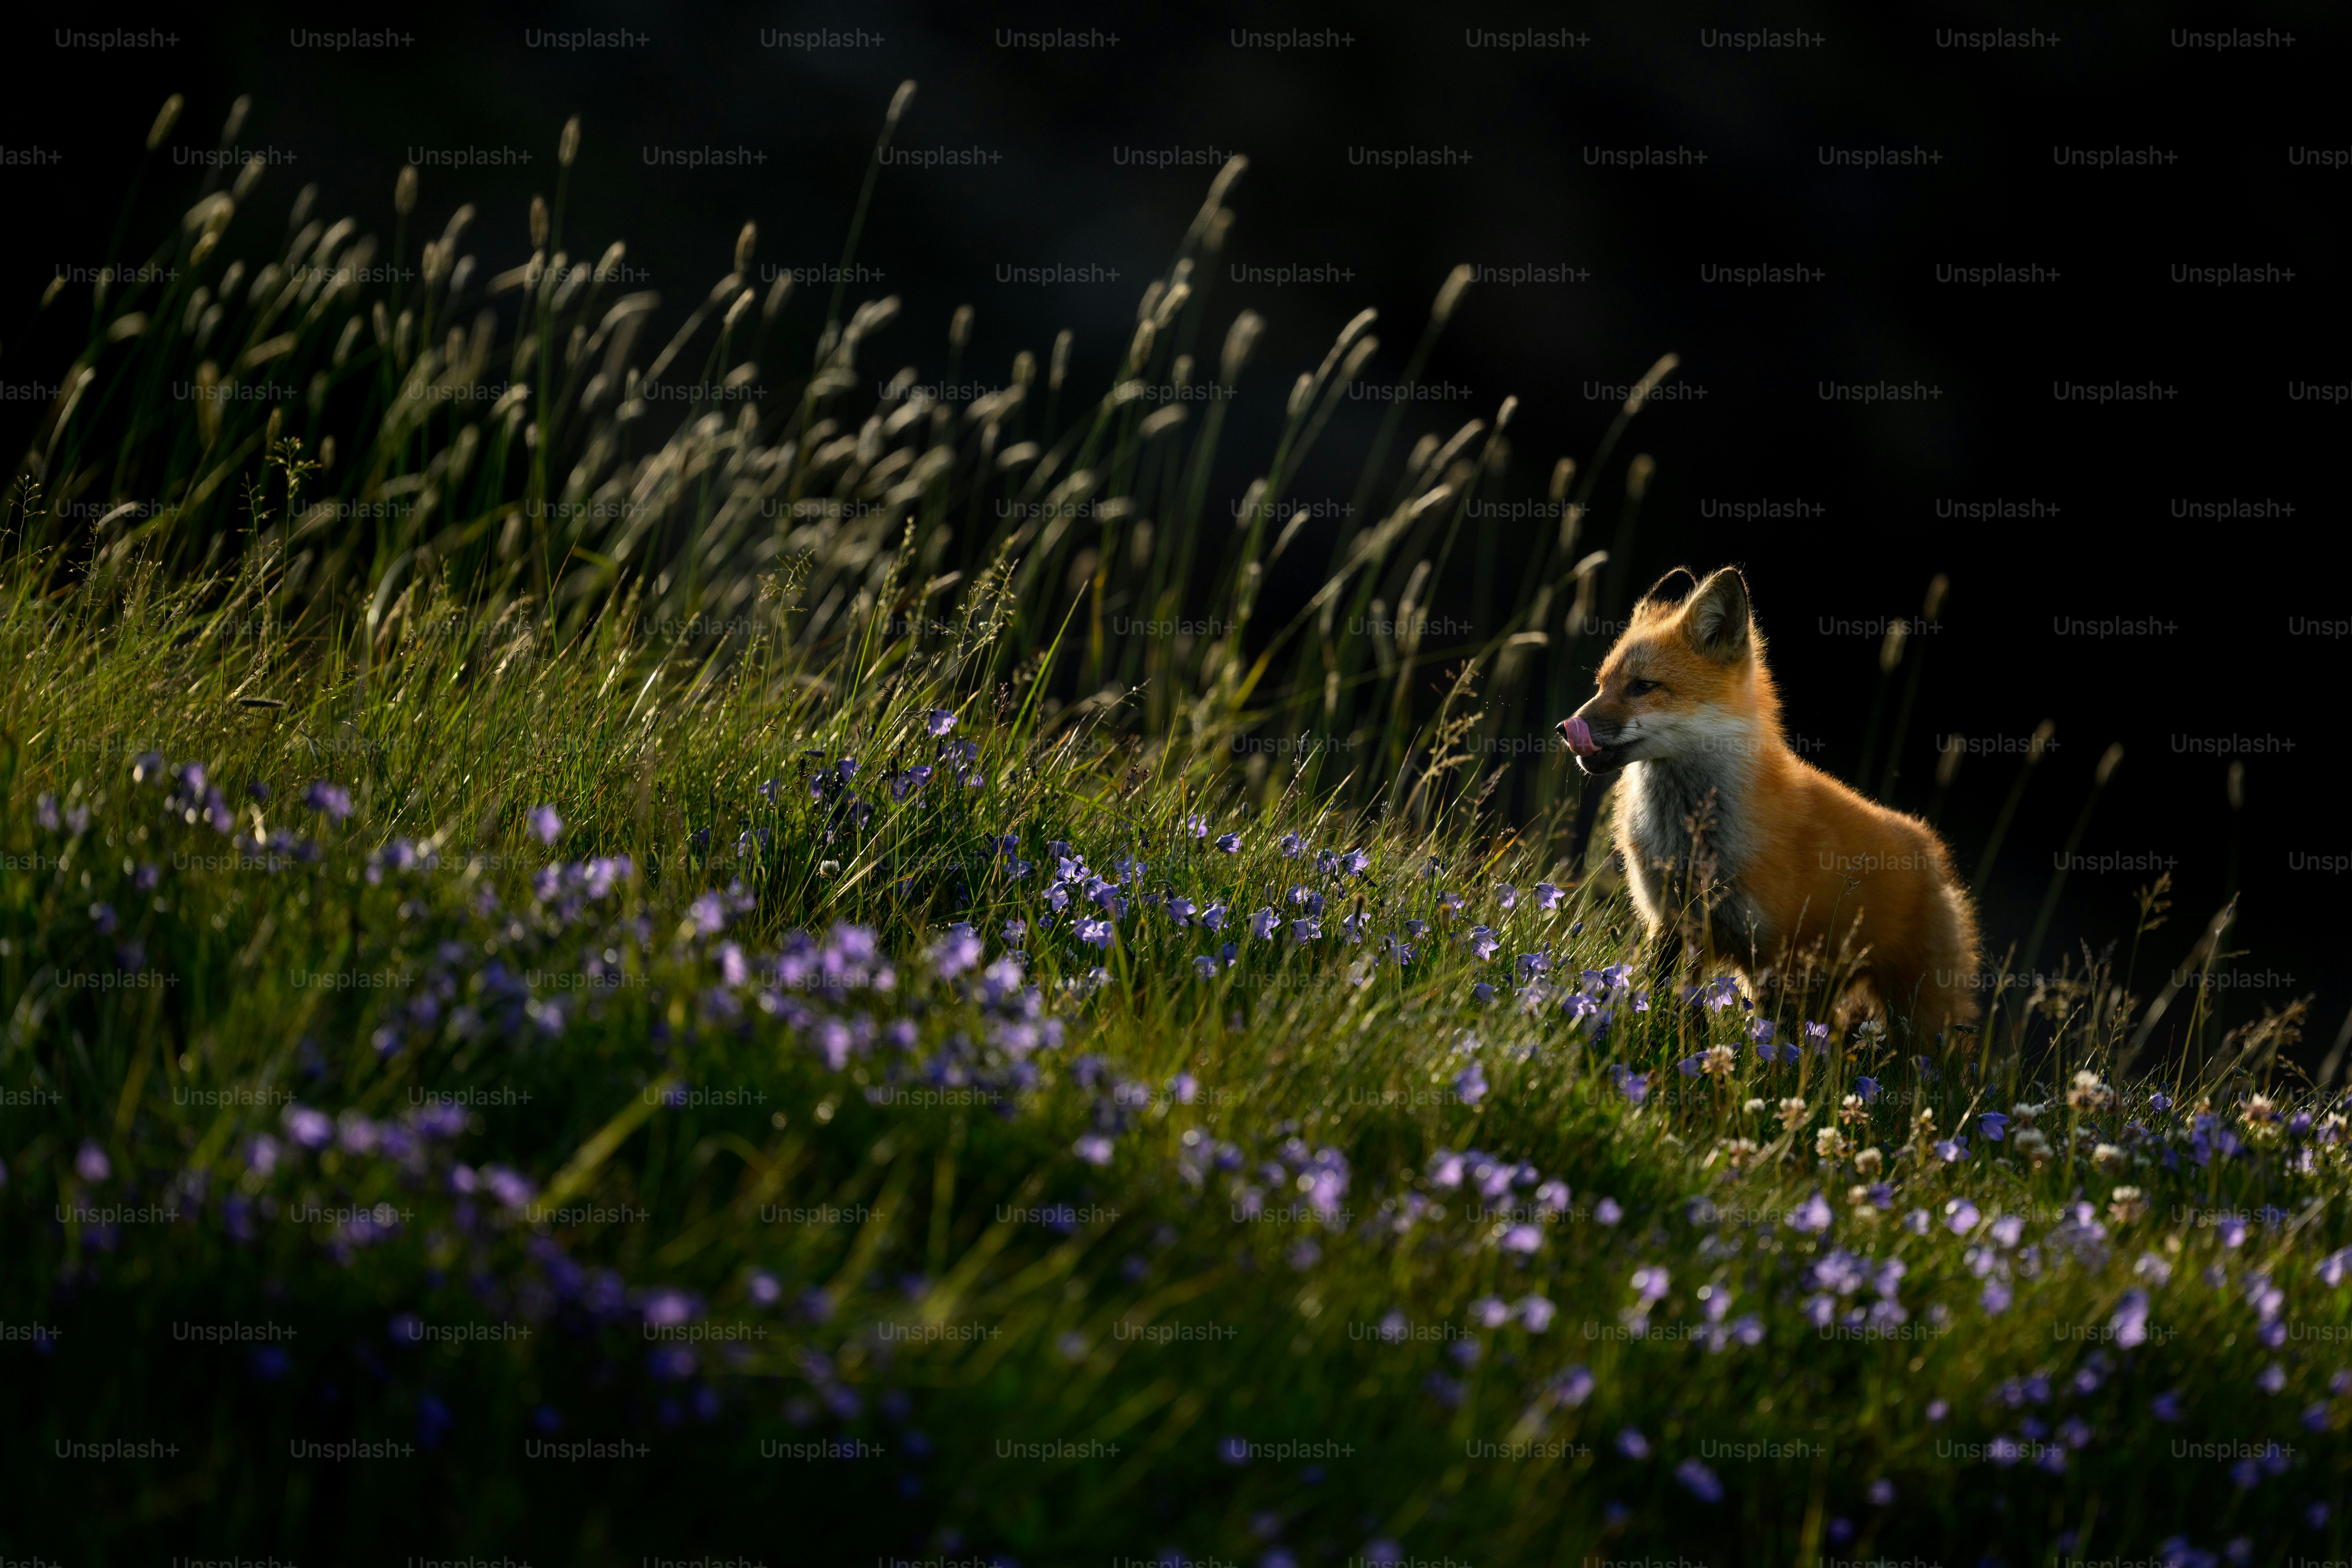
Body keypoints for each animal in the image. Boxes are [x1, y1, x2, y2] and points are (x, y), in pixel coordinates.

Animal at [1558, 565, 1981, 1034]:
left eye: (1643, 686)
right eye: (1601, 685)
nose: (1565, 729)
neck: (1694, 842)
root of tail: (1932, 848)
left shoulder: (1772, 954)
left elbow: (1770, 1043)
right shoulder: (1672, 924)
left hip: (1916, 1016)